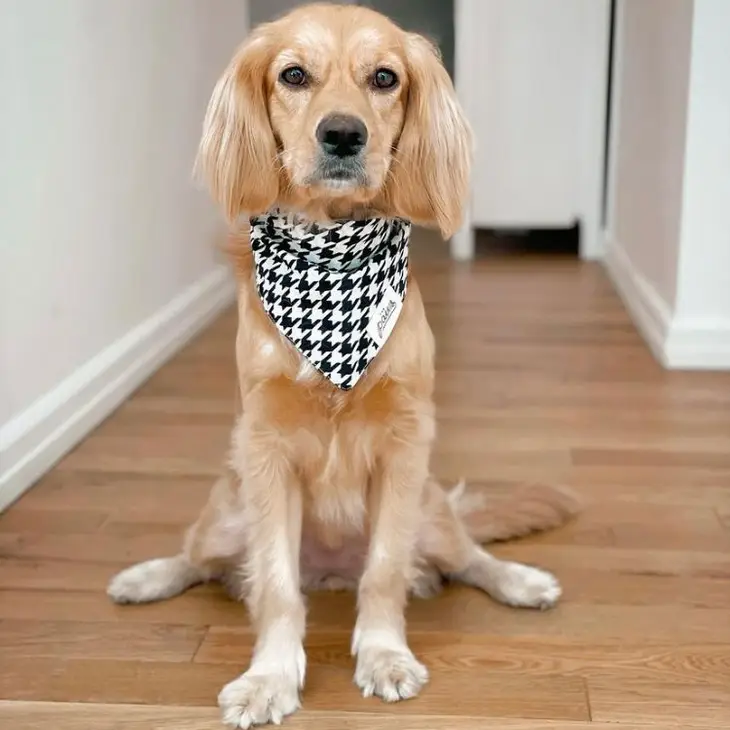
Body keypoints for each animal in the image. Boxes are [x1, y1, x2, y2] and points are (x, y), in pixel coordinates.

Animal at [106, 2, 576, 724]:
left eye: (384, 78)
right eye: (293, 75)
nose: (343, 135)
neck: (333, 254)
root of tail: (328, 570)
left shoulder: (406, 443)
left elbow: (383, 571)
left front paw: (384, 655)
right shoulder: (265, 447)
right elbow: (273, 584)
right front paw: (270, 678)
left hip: (432, 512)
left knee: (468, 554)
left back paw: (520, 581)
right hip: (225, 513)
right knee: (198, 557)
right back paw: (146, 576)